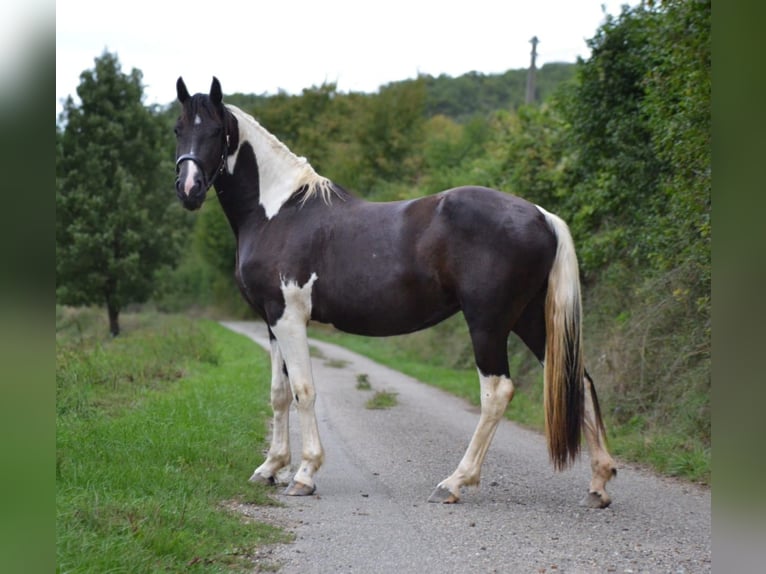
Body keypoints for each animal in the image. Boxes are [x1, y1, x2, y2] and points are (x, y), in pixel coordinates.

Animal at [173, 77, 617, 507]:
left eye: (215, 131)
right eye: (178, 129)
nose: (188, 188)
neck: (278, 212)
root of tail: (542, 215)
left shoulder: (290, 318)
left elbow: (303, 391)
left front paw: (304, 474)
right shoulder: (271, 320)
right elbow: (279, 393)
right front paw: (270, 468)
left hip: (488, 325)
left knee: (497, 392)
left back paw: (454, 482)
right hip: (530, 319)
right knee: (580, 380)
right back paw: (598, 484)